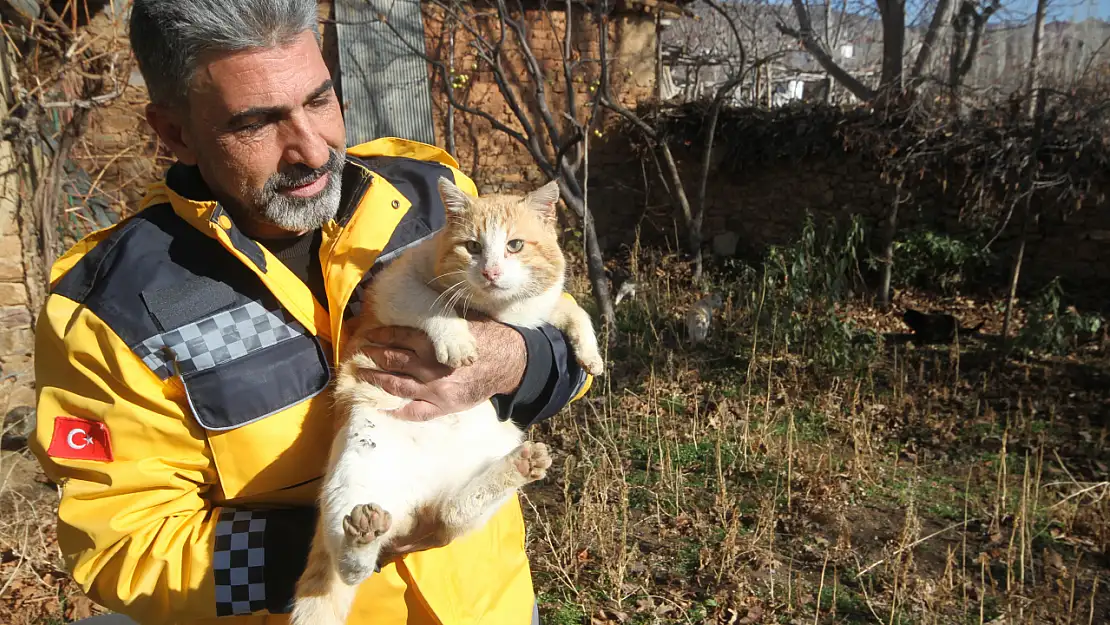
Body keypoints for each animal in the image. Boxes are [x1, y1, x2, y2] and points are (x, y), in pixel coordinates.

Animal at [290, 176, 603, 625]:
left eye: (514, 245)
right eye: (472, 246)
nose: (491, 271)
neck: (497, 312)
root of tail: (417, 507)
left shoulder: (540, 309)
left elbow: (574, 311)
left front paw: (591, 356)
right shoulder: (395, 285)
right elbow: (435, 306)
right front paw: (458, 343)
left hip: (494, 450)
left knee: (452, 514)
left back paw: (521, 465)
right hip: (352, 472)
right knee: (348, 565)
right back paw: (362, 536)